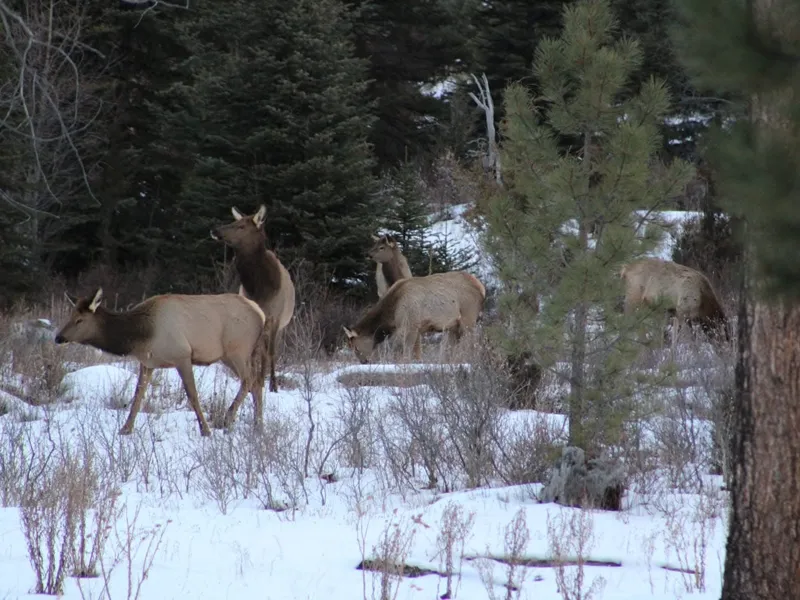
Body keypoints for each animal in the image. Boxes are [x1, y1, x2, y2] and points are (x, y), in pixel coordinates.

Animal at [54, 288, 268, 437]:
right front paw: (125, 429)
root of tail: (261, 313)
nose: (58, 337)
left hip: (237, 350)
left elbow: (192, 395)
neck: (141, 336)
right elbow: (137, 396)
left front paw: (205, 430)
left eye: (80, 320)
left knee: (249, 380)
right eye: (70, 316)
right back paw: (258, 426)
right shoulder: (148, 363)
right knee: (257, 382)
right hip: (232, 356)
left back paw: (228, 418)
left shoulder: (182, 355)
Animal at [211, 205, 296, 393]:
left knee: (270, 350)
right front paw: (254, 381)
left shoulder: (275, 317)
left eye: (242, 226)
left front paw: (273, 386)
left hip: (282, 325)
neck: (260, 289)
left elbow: (270, 352)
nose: (214, 230)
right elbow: (254, 352)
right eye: (234, 221)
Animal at [343, 270, 486, 363]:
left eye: (355, 347)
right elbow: (417, 353)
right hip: (453, 326)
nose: (364, 361)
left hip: (468, 317)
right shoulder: (417, 327)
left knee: (471, 342)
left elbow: (406, 352)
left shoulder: (410, 325)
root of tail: (482, 288)